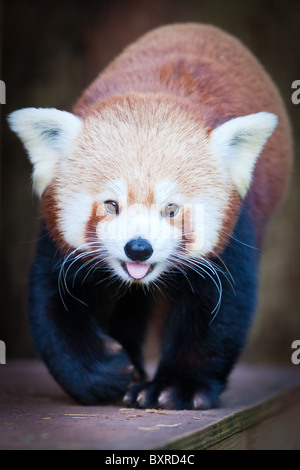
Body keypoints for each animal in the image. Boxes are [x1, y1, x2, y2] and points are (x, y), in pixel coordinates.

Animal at [7, 23, 292, 410]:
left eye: (170, 208)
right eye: (112, 205)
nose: (138, 248)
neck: (157, 96)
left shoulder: (237, 227)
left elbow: (216, 312)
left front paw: (176, 387)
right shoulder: (57, 240)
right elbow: (52, 304)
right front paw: (103, 374)